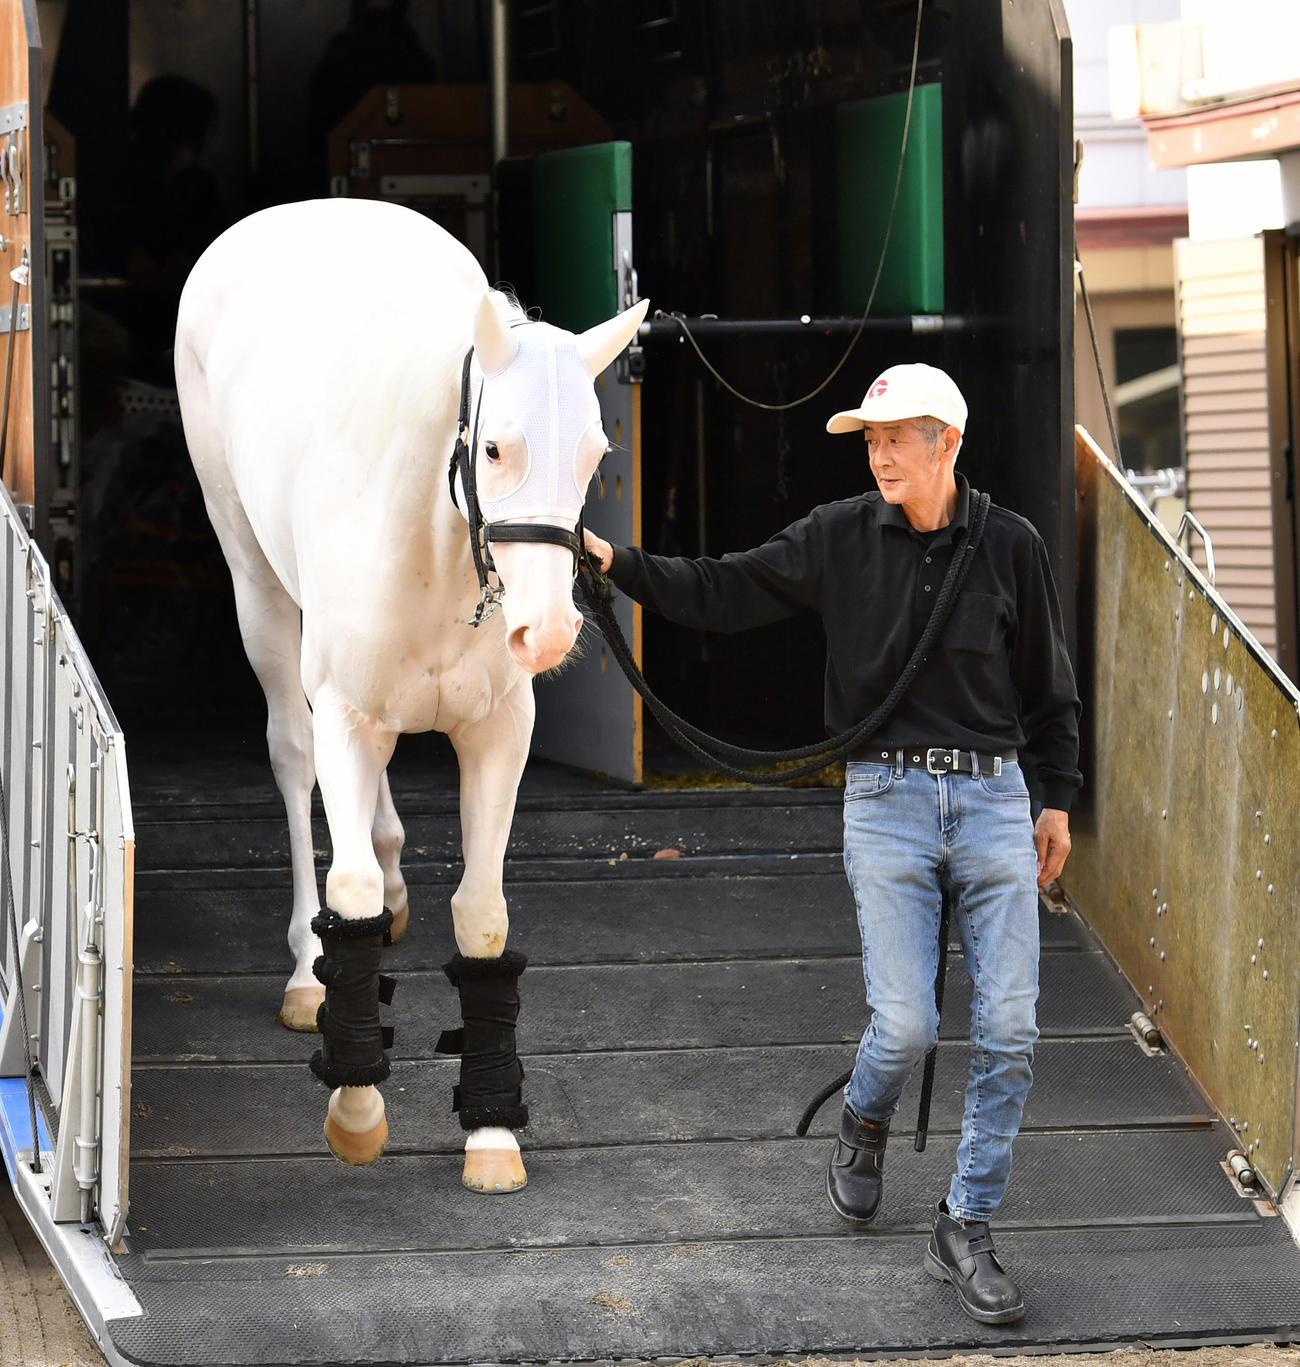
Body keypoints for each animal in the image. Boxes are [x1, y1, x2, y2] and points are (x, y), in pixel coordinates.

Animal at [174, 196, 647, 1191]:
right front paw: (355, 1110)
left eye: (597, 451)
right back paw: (307, 969)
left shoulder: (500, 732)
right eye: (496, 446)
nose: (547, 632)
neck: (435, 543)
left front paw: (492, 1130)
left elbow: (482, 912)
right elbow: (344, 880)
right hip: (255, 584)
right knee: (293, 756)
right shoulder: (346, 714)